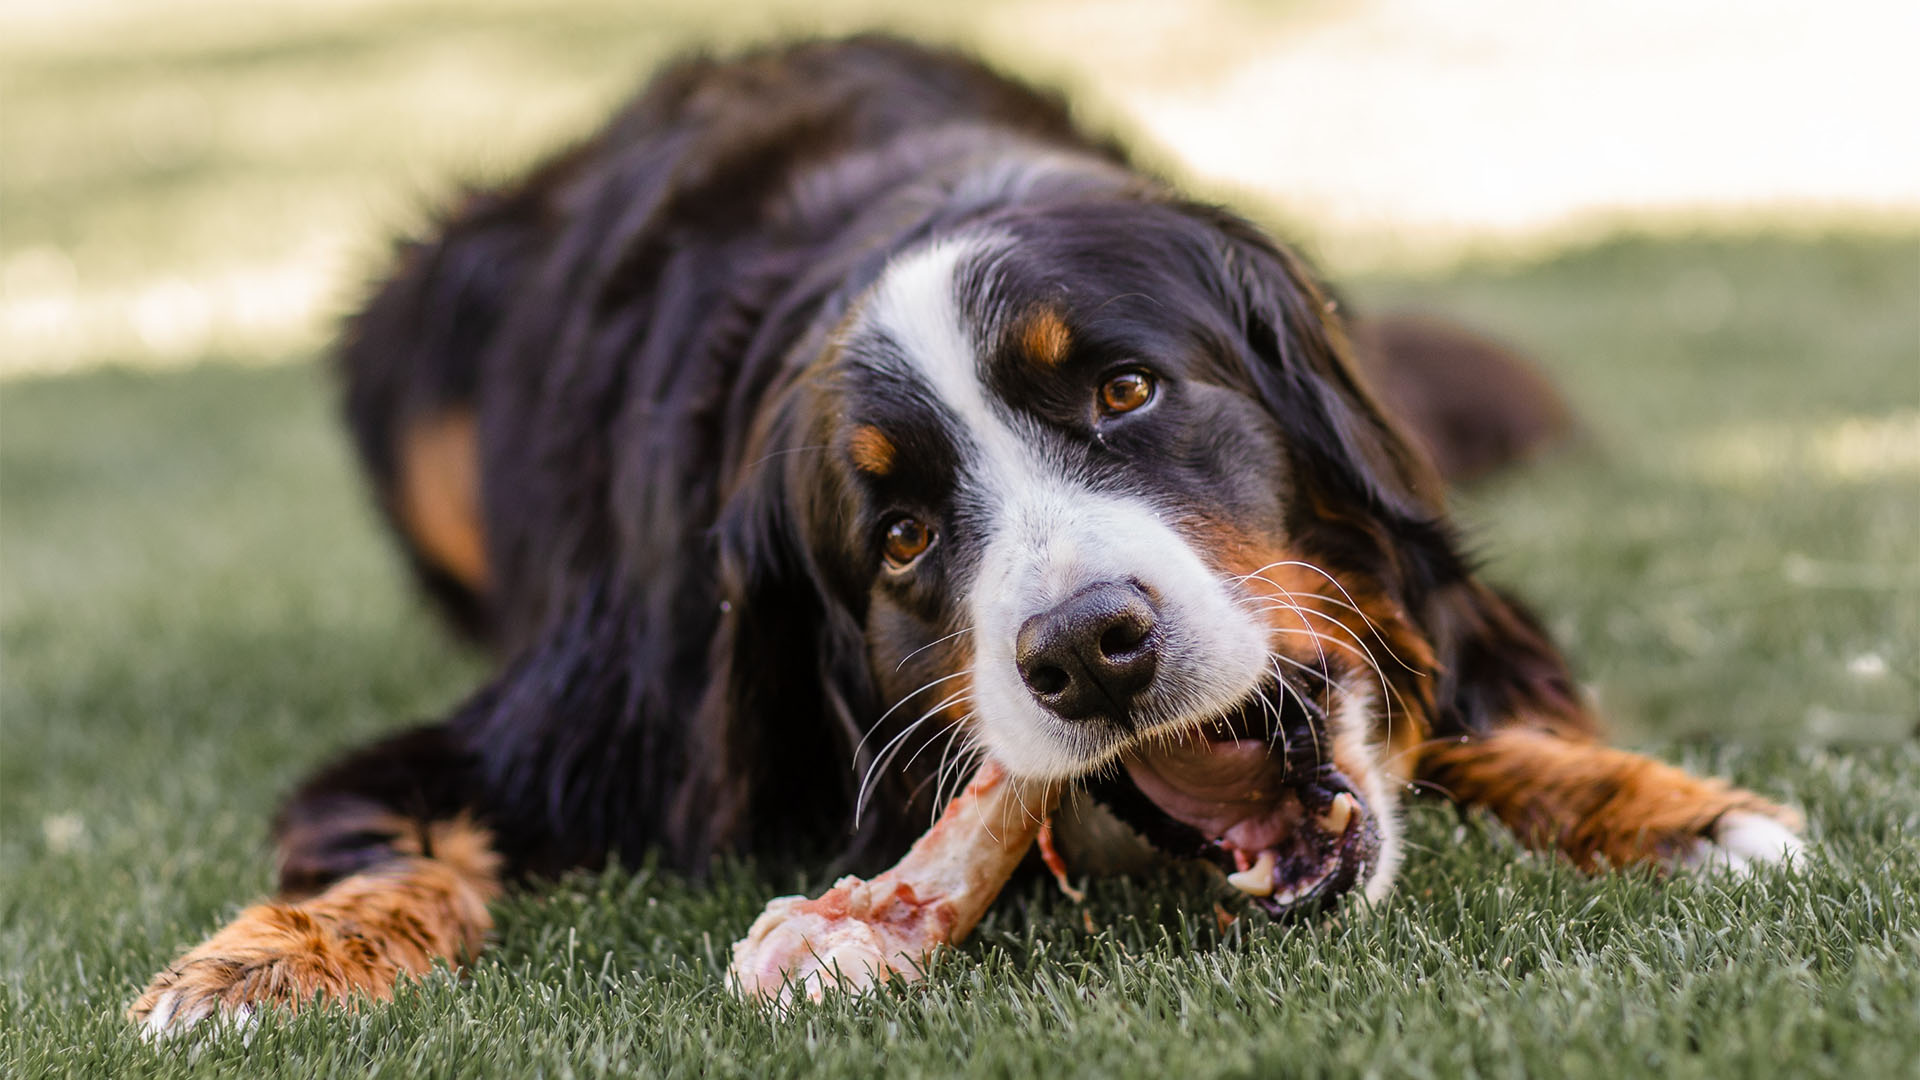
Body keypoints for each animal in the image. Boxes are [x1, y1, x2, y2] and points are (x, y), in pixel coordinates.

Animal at [127, 33, 1804, 1030]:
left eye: (1126, 390)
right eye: (902, 536)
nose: (1091, 650)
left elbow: (1473, 691)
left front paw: (1665, 808)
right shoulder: (565, 729)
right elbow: (386, 838)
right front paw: (265, 960)